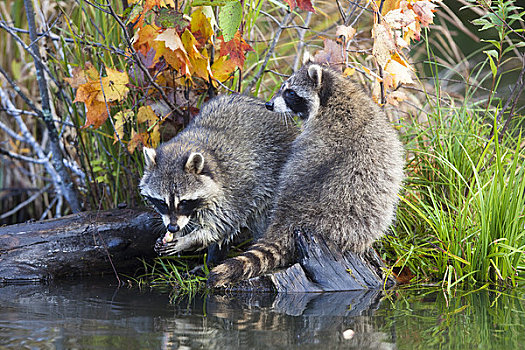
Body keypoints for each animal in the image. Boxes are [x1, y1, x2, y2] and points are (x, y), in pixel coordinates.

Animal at [137, 94, 296, 262]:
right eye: (162, 202)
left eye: (184, 202)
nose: (173, 228)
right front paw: (176, 233)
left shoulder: (232, 191)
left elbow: (221, 226)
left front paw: (187, 240)